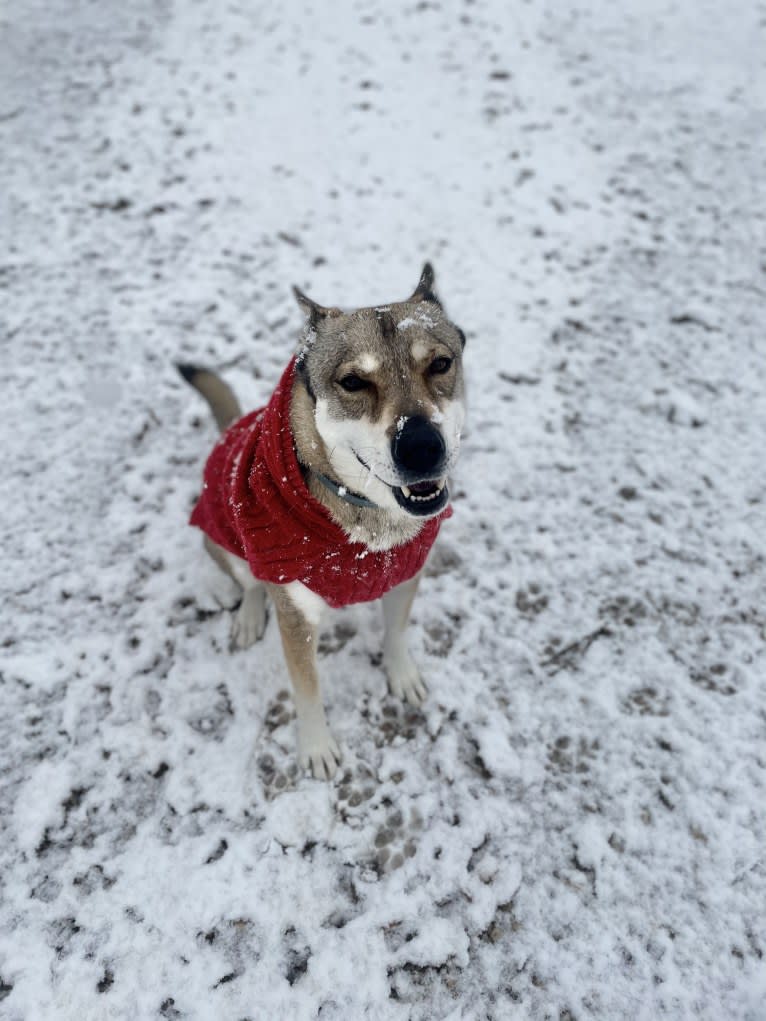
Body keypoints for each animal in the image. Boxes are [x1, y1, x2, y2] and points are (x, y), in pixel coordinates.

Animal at [178, 265, 467, 780]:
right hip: (228, 541)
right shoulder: (295, 614)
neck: (365, 522)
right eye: (353, 382)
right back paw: (248, 616)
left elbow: (396, 633)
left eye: (439, 364)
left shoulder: (406, 572)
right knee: (249, 583)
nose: (421, 448)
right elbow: (307, 689)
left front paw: (402, 675)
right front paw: (316, 748)